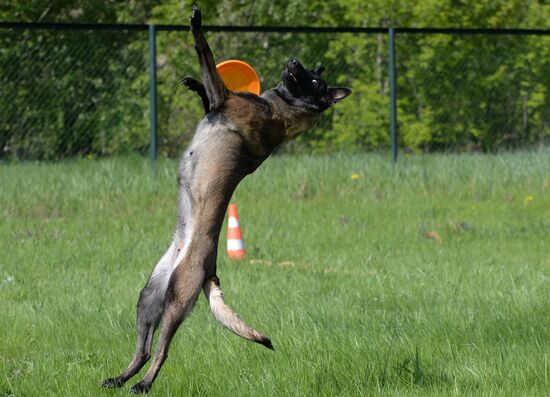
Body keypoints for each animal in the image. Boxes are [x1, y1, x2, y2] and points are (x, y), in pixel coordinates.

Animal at [102, 6, 354, 392]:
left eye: (314, 81)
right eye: (309, 72)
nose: (294, 61)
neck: (279, 109)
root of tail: (209, 268)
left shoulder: (225, 97)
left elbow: (207, 56)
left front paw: (197, 25)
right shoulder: (220, 103)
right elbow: (207, 86)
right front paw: (194, 83)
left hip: (177, 297)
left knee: (161, 351)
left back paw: (143, 384)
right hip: (149, 295)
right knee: (143, 349)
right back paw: (120, 378)